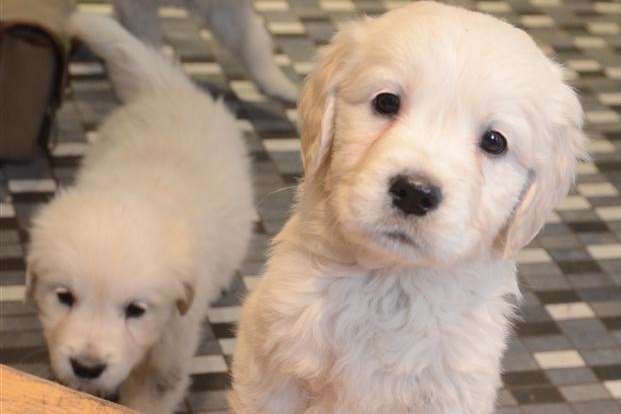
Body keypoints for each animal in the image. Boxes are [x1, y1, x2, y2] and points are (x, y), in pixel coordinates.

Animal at [26, 12, 254, 414]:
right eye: (64, 297)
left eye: (136, 310)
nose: (87, 367)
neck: (138, 191)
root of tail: (169, 88)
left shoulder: (171, 347)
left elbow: (150, 395)